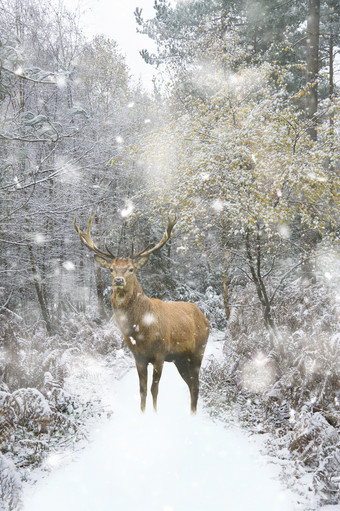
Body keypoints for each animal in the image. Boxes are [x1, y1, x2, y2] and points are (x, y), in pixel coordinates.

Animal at [73, 214, 209, 414]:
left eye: (131, 269)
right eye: (111, 269)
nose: (118, 280)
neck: (141, 329)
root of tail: (205, 318)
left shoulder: (160, 353)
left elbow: (154, 389)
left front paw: (155, 414)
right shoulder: (138, 356)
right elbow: (142, 389)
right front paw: (143, 413)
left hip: (198, 350)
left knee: (196, 384)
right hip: (180, 358)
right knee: (191, 384)